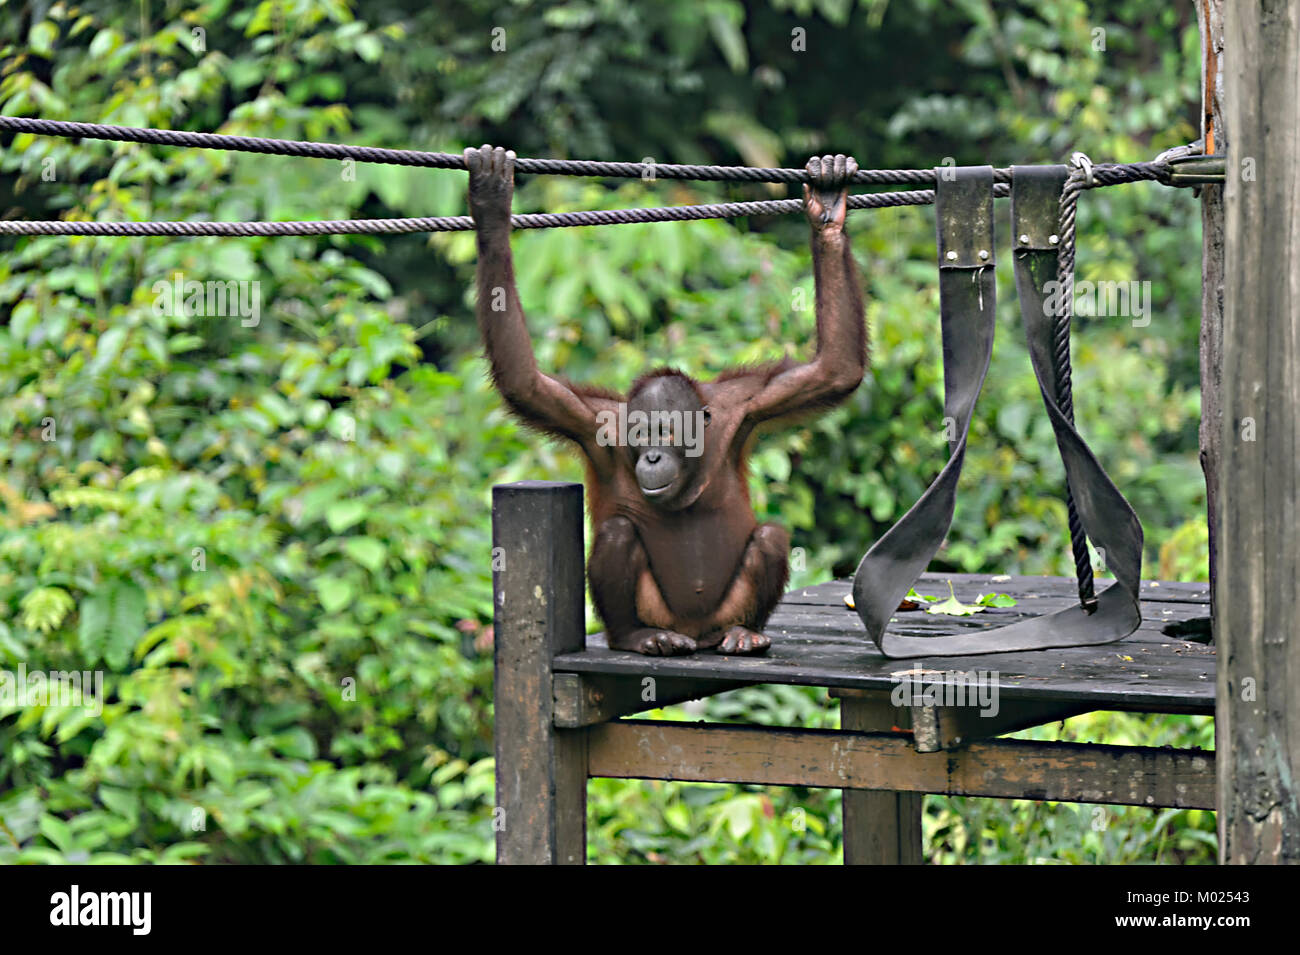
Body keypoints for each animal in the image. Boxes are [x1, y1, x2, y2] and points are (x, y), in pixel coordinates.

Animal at [466, 145, 866, 655]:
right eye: (641, 435)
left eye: (667, 433)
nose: (653, 456)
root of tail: (696, 633)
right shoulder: (593, 421)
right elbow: (525, 382)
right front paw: (491, 206)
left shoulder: (745, 404)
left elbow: (834, 369)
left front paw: (828, 209)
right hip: (660, 612)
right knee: (619, 535)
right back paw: (638, 637)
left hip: (723, 611)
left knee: (770, 536)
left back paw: (745, 633)